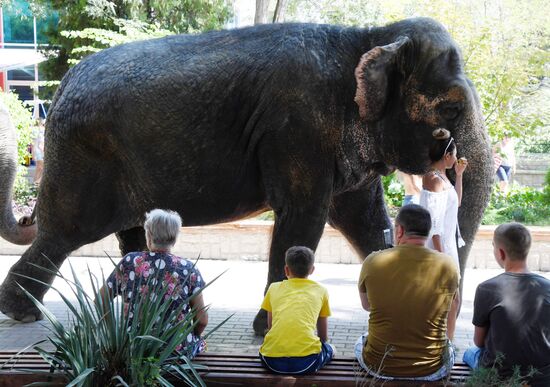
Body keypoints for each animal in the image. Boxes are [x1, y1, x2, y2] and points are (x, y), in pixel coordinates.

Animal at [0, 17, 492, 334]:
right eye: (451, 109)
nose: (450, 162)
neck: (368, 36)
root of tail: (61, 84)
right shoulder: (298, 128)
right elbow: (303, 215)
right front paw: (271, 327)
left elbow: (364, 219)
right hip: (83, 158)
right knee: (66, 233)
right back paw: (24, 314)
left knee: (130, 236)